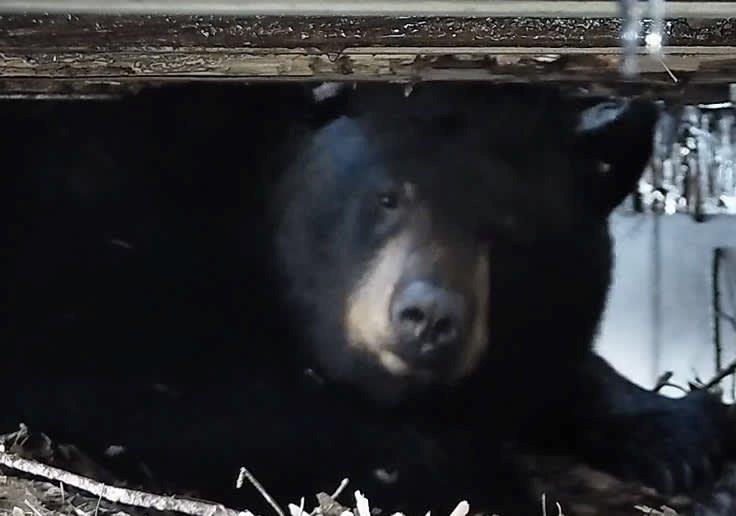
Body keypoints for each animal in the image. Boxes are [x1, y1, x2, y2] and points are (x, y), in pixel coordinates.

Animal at [0, 82, 731, 516]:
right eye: (387, 196)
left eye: (511, 231)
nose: (429, 315)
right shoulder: (97, 244)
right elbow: (196, 396)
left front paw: (677, 433)